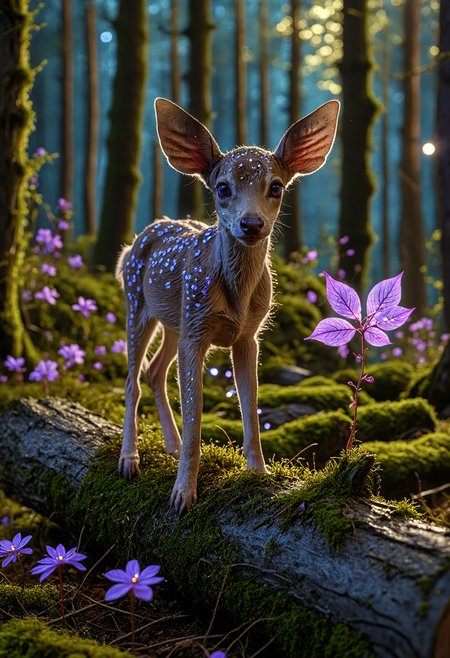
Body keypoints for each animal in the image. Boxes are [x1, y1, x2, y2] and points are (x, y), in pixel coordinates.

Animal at [116, 97, 340, 514]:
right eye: (223, 187)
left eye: (276, 186)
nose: (251, 223)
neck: (236, 296)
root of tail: (135, 242)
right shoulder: (198, 332)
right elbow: (196, 413)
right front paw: (183, 494)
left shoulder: (247, 335)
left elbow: (250, 406)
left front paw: (260, 473)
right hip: (138, 304)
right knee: (132, 380)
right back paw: (129, 459)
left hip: (176, 321)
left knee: (155, 371)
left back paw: (169, 446)